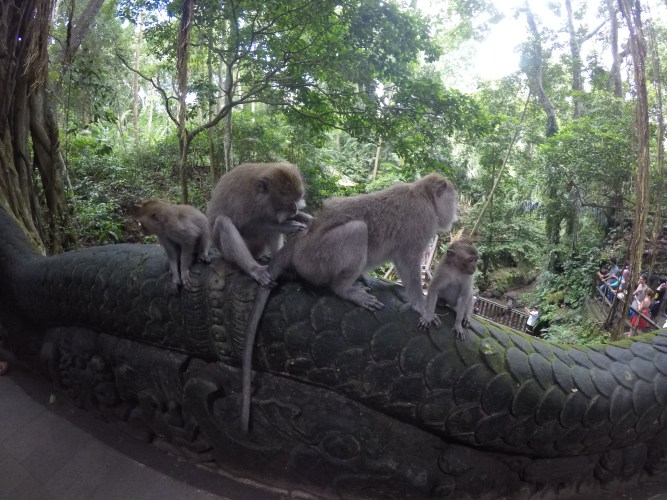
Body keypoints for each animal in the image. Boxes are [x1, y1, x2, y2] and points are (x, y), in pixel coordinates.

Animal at [240, 173, 458, 432]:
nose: (456, 213)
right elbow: (407, 259)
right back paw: (346, 290)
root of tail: (301, 240)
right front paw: (422, 305)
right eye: (453, 198)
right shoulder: (421, 220)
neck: (423, 194)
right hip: (318, 258)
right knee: (357, 230)